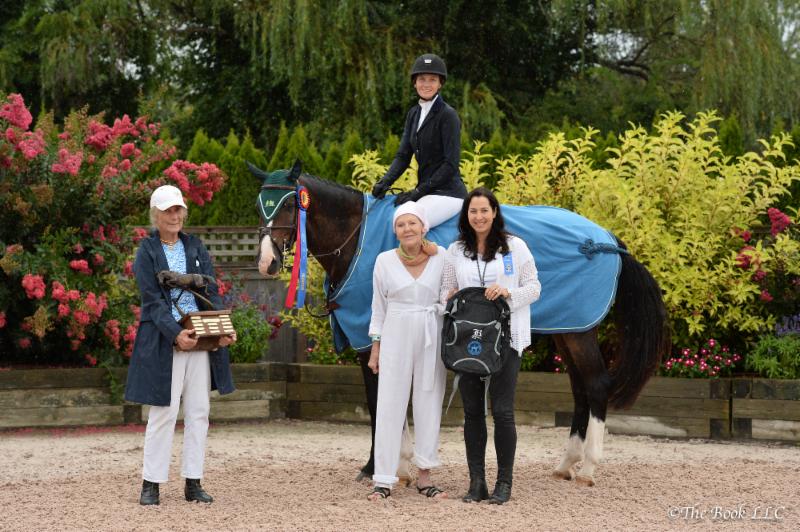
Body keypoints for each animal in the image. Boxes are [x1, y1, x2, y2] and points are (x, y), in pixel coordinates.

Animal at [250, 160, 669, 487]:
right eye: (260, 206)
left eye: (289, 206)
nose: (267, 263)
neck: (357, 240)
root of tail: (605, 238)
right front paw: (387, 465)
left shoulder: (373, 338)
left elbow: (380, 401)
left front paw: (388, 466)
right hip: (569, 332)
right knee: (581, 390)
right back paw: (567, 464)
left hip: (579, 333)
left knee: (596, 385)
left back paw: (588, 469)